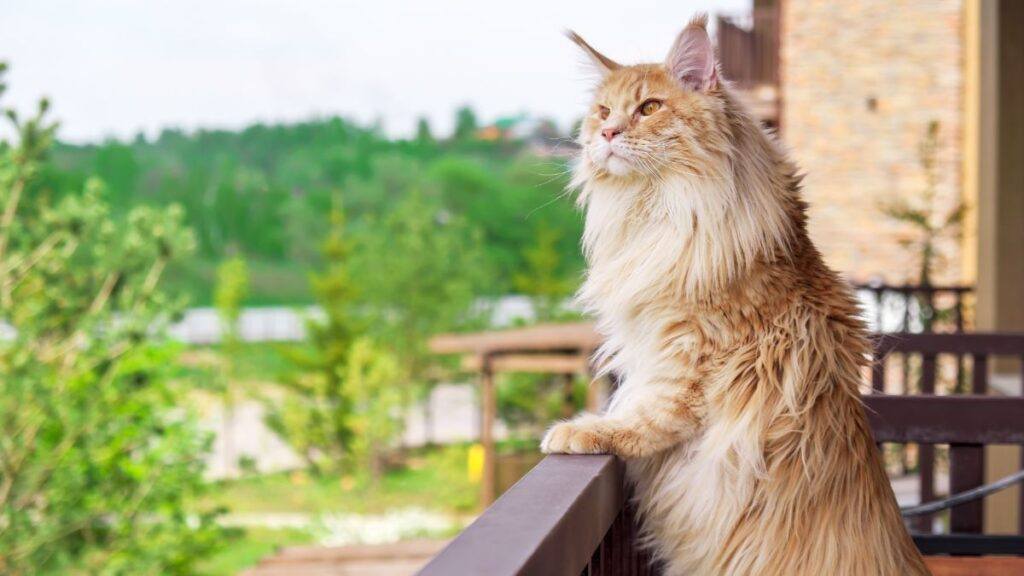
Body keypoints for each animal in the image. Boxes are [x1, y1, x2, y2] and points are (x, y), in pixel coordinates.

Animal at [540, 13, 933, 573]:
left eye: (649, 108)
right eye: (602, 112)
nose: (609, 133)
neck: (656, 210)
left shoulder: (688, 347)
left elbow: (646, 415)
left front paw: (583, 429)